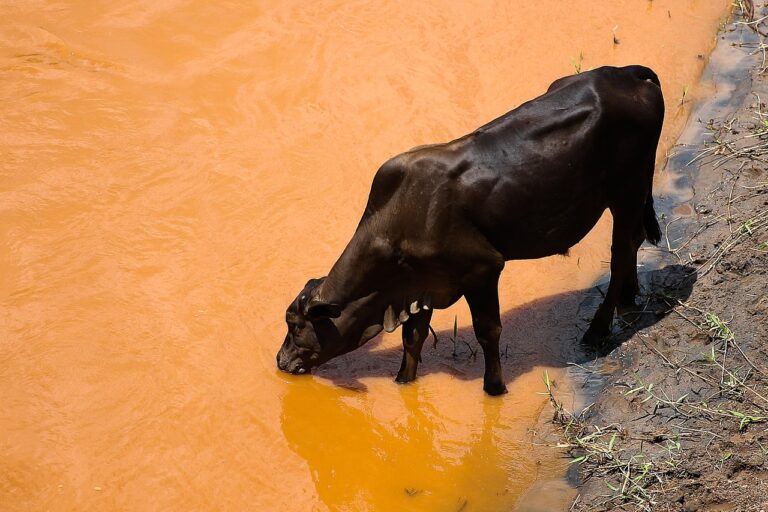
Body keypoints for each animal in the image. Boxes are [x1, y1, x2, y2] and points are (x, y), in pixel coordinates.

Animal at [278, 66, 664, 396]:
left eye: (296, 326)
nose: (281, 361)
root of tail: (627, 72)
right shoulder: (420, 284)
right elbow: (413, 338)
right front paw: (403, 381)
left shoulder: (482, 269)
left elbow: (487, 330)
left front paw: (494, 387)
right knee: (634, 241)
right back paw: (629, 296)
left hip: (627, 191)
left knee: (621, 252)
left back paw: (598, 329)